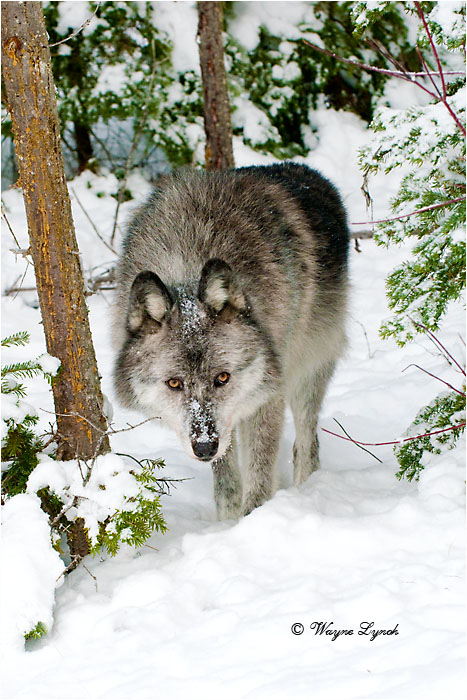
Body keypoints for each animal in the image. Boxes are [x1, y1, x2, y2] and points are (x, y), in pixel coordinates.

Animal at [113, 162, 349, 518]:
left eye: (222, 377)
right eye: (174, 384)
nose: (204, 447)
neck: (188, 266)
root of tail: (304, 169)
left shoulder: (267, 397)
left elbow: (260, 477)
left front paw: (253, 522)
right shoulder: (223, 426)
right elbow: (226, 482)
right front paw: (227, 522)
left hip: (306, 372)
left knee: (307, 444)